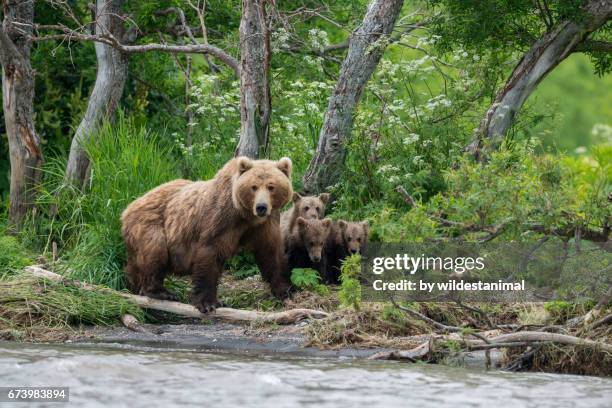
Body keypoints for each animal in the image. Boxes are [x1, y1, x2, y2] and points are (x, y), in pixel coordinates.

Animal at [122, 156, 294, 312]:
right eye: (254, 187)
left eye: (271, 187)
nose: (261, 207)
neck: (245, 216)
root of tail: (128, 208)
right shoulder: (220, 219)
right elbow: (210, 252)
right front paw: (208, 303)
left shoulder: (266, 223)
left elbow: (271, 251)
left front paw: (285, 288)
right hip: (150, 223)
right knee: (155, 252)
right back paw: (160, 292)